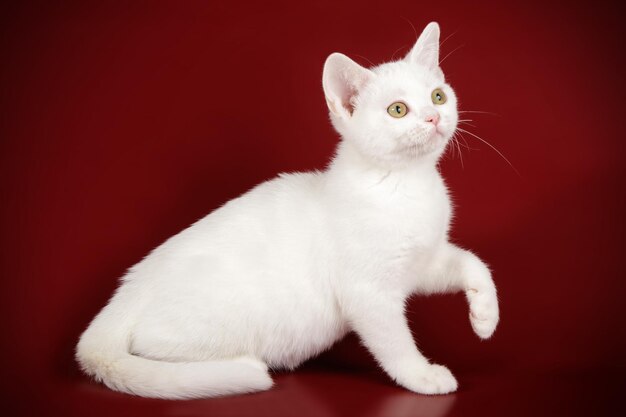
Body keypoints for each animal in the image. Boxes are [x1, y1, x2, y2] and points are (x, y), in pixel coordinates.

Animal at [75, 21, 498, 398]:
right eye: (397, 109)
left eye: (438, 96)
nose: (434, 116)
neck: (407, 184)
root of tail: (128, 291)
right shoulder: (369, 292)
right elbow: (395, 343)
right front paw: (422, 376)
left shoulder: (421, 262)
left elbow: (472, 262)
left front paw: (485, 315)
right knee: (154, 351)